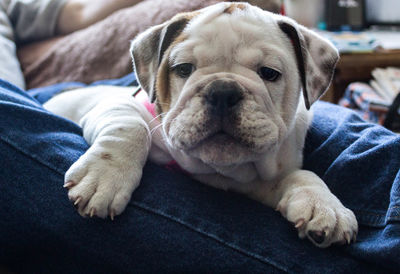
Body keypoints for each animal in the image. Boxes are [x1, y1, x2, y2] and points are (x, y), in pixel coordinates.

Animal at [45, 1, 358, 247]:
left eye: (270, 73)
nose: (222, 91)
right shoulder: (115, 105)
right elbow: (130, 127)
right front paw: (104, 177)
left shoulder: (258, 180)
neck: (217, 169)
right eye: (183, 69)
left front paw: (324, 205)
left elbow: (301, 176)